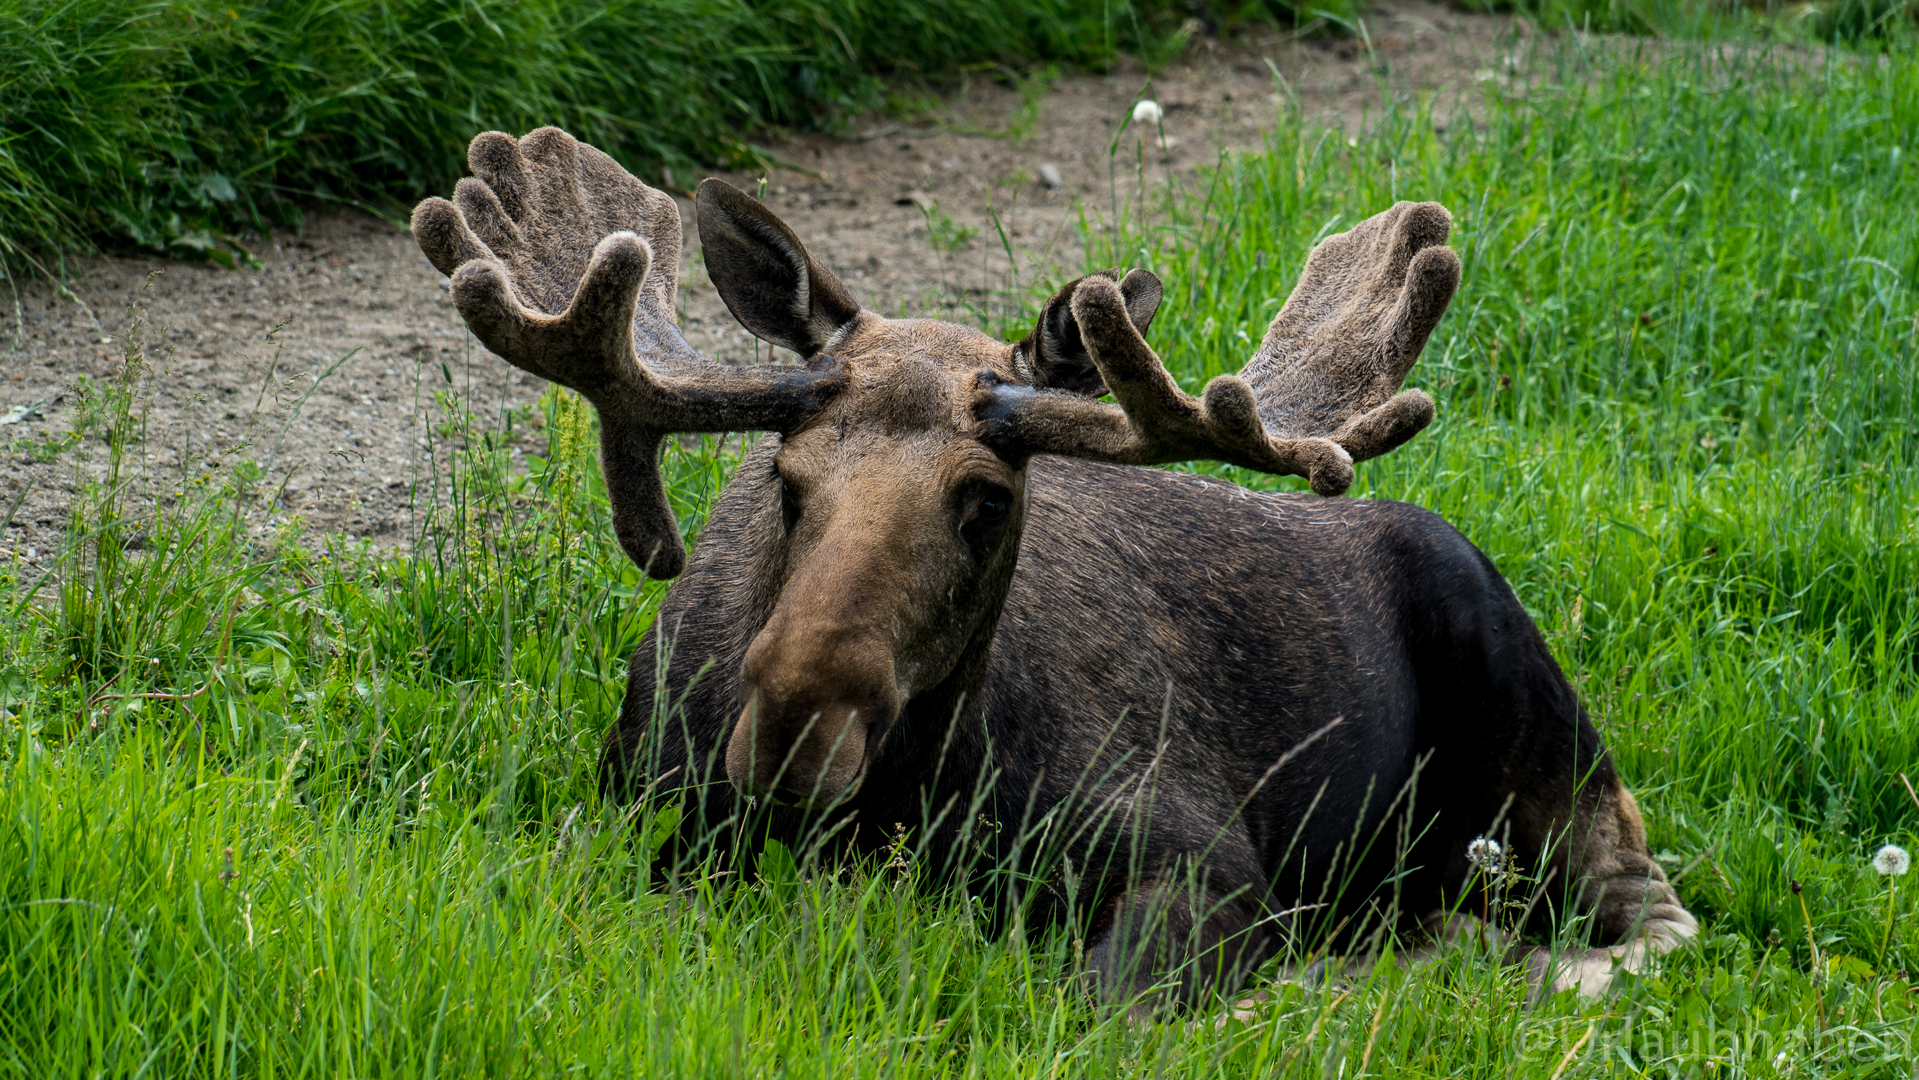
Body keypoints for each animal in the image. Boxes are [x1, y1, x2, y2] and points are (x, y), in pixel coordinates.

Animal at [411, 126, 1697, 1016]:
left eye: (984, 500)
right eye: (784, 476)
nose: (791, 729)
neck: (909, 802)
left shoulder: (1201, 860)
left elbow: (1090, 1005)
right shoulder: (642, 827)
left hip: (1546, 745)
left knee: (1652, 914)